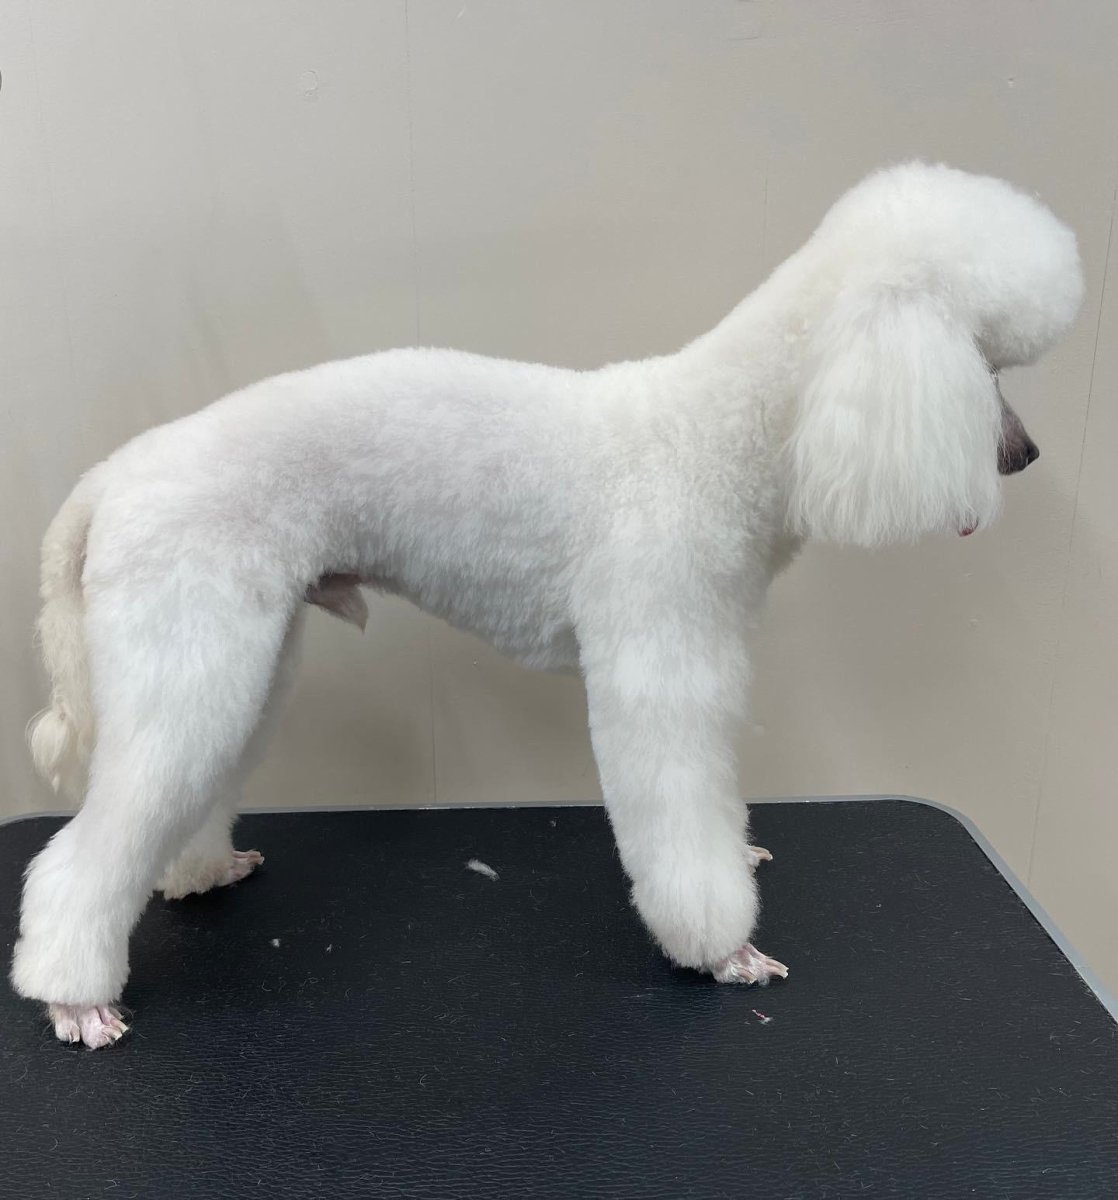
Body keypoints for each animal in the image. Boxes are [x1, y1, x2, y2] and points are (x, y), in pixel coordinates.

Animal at [12, 163, 1083, 1048]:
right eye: (984, 362)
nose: (1027, 455)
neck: (725, 438)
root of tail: (113, 478)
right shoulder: (657, 661)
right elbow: (678, 817)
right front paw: (722, 946)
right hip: (189, 637)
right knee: (85, 850)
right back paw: (74, 996)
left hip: (240, 650)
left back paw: (195, 870)